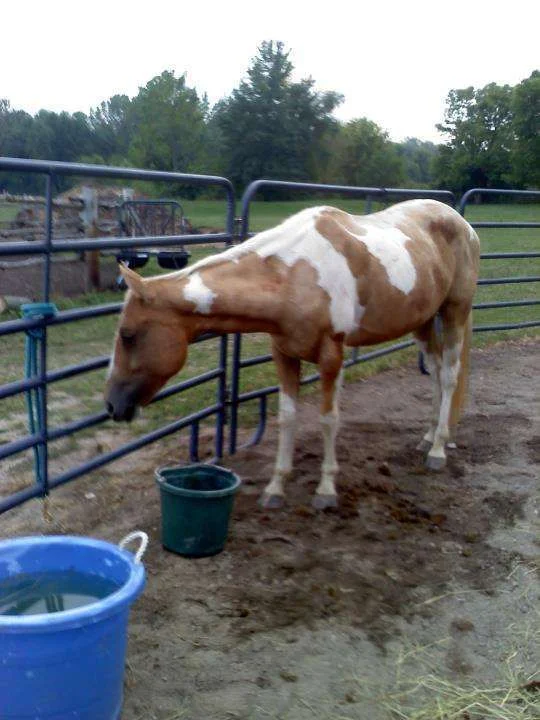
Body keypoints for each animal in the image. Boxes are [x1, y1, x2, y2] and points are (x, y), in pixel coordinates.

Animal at [105, 200, 480, 510]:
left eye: (128, 336)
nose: (112, 405)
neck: (293, 275)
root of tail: (463, 223)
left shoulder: (332, 358)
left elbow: (328, 419)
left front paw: (326, 490)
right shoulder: (284, 354)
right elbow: (287, 418)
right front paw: (276, 487)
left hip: (454, 312)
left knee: (449, 374)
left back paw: (438, 449)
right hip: (423, 322)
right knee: (435, 370)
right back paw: (428, 436)